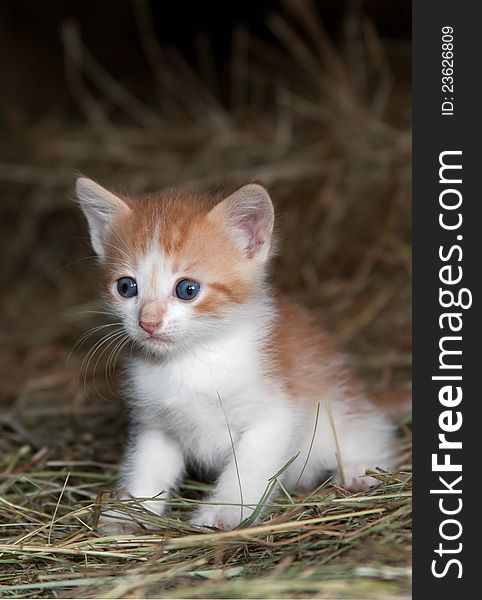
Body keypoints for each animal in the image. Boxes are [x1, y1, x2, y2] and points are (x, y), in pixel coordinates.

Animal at [76, 177, 400, 528]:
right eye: (126, 287)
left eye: (187, 289)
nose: (148, 322)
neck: (192, 360)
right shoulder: (157, 424)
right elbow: (147, 468)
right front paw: (128, 512)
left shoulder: (274, 416)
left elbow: (247, 468)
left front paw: (224, 511)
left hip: (338, 407)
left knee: (371, 432)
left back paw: (358, 469)